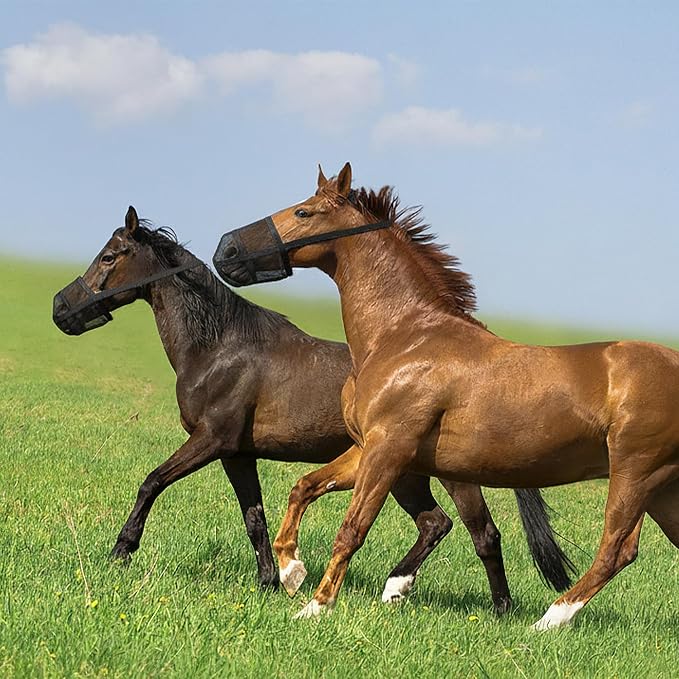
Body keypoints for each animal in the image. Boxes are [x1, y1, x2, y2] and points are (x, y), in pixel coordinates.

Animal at [52, 206, 573, 612]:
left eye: (110, 256)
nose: (60, 309)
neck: (219, 347)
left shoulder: (210, 439)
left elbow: (152, 482)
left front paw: (121, 550)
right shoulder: (236, 453)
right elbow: (255, 518)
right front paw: (273, 580)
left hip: (448, 474)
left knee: (483, 534)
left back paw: (499, 609)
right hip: (402, 473)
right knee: (435, 524)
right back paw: (395, 588)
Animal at [213, 162, 679, 628]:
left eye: (303, 212)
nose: (225, 251)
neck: (404, 337)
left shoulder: (389, 448)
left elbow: (352, 529)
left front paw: (316, 605)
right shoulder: (369, 448)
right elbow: (304, 487)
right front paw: (291, 569)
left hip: (635, 474)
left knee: (617, 549)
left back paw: (549, 620)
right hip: (660, 488)